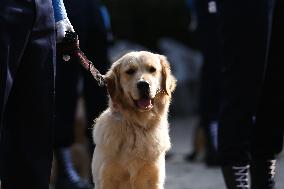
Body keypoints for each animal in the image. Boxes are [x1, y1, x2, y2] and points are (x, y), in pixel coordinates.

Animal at [91, 51, 175, 188]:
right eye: (130, 71)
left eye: (152, 69)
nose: (143, 84)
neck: (137, 126)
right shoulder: (106, 179)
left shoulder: (154, 179)